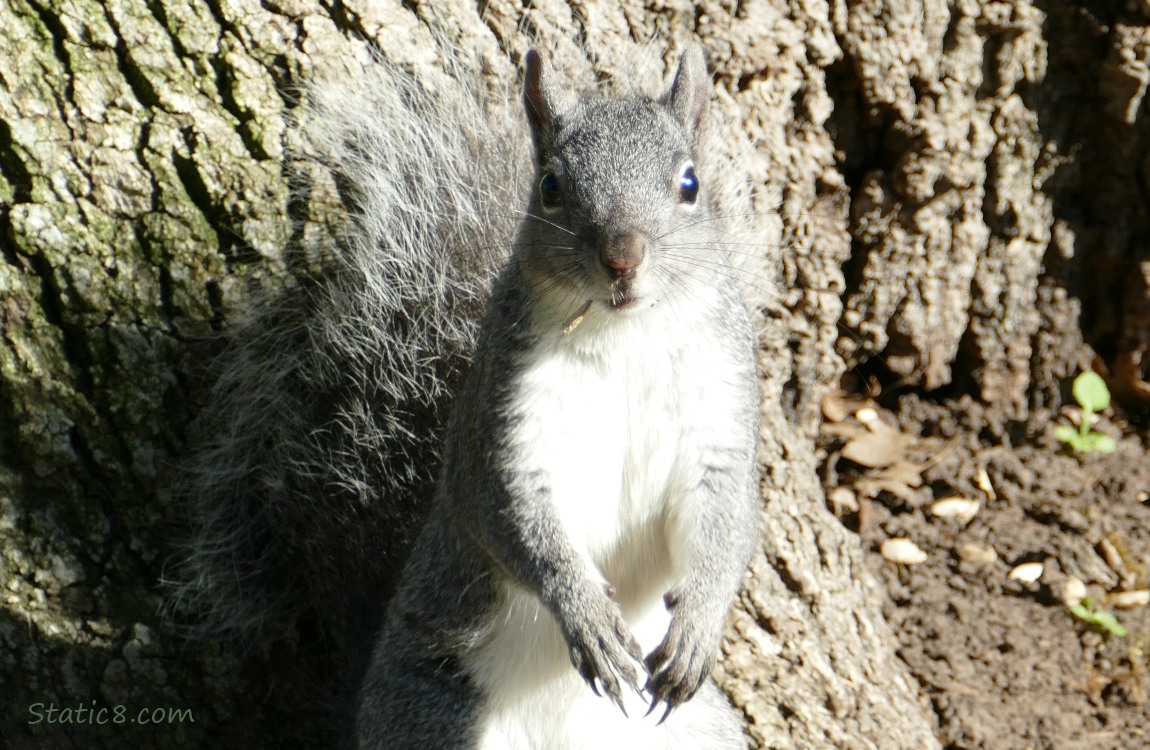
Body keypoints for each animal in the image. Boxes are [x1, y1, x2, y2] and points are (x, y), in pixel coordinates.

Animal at [177, 37, 763, 745]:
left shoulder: (719, 414)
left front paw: (700, 624)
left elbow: (726, 521)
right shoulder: (505, 426)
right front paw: (585, 613)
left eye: (690, 184)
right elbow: (512, 519)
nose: (623, 257)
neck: (624, 333)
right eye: (550, 188)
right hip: (435, 716)